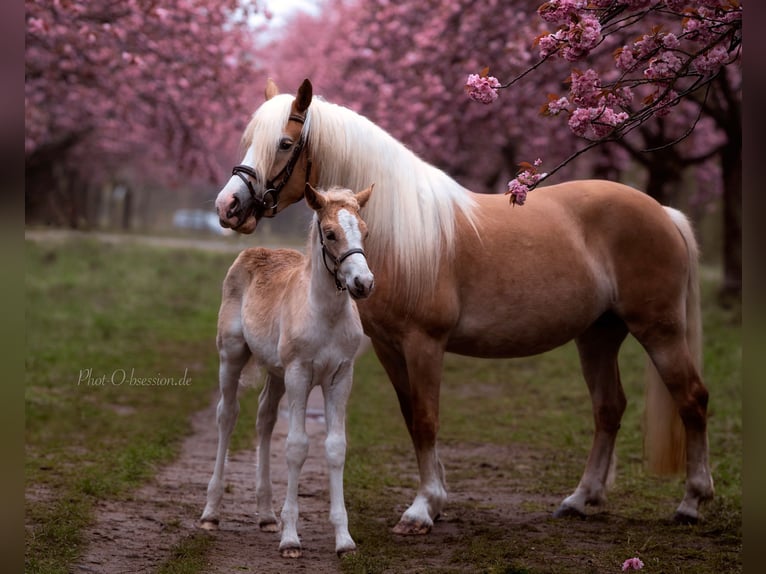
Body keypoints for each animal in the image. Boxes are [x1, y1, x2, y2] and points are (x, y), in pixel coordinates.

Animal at [201, 183, 376, 560]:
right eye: (330, 233)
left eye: (365, 232)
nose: (363, 283)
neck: (325, 315)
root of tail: (255, 250)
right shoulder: (299, 374)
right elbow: (296, 446)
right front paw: (291, 539)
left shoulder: (341, 377)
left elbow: (335, 447)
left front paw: (344, 540)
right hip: (232, 355)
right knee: (227, 415)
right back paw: (211, 512)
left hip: (276, 373)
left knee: (264, 419)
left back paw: (267, 515)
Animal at [214, 79, 712, 536]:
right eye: (249, 140)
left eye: (284, 143)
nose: (228, 206)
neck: (400, 233)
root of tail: (664, 213)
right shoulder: (389, 347)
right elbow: (412, 418)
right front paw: (435, 500)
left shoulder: (424, 345)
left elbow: (427, 419)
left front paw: (422, 509)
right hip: (598, 335)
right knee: (608, 408)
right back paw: (579, 499)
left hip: (661, 331)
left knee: (692, 398)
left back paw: (691, 503)